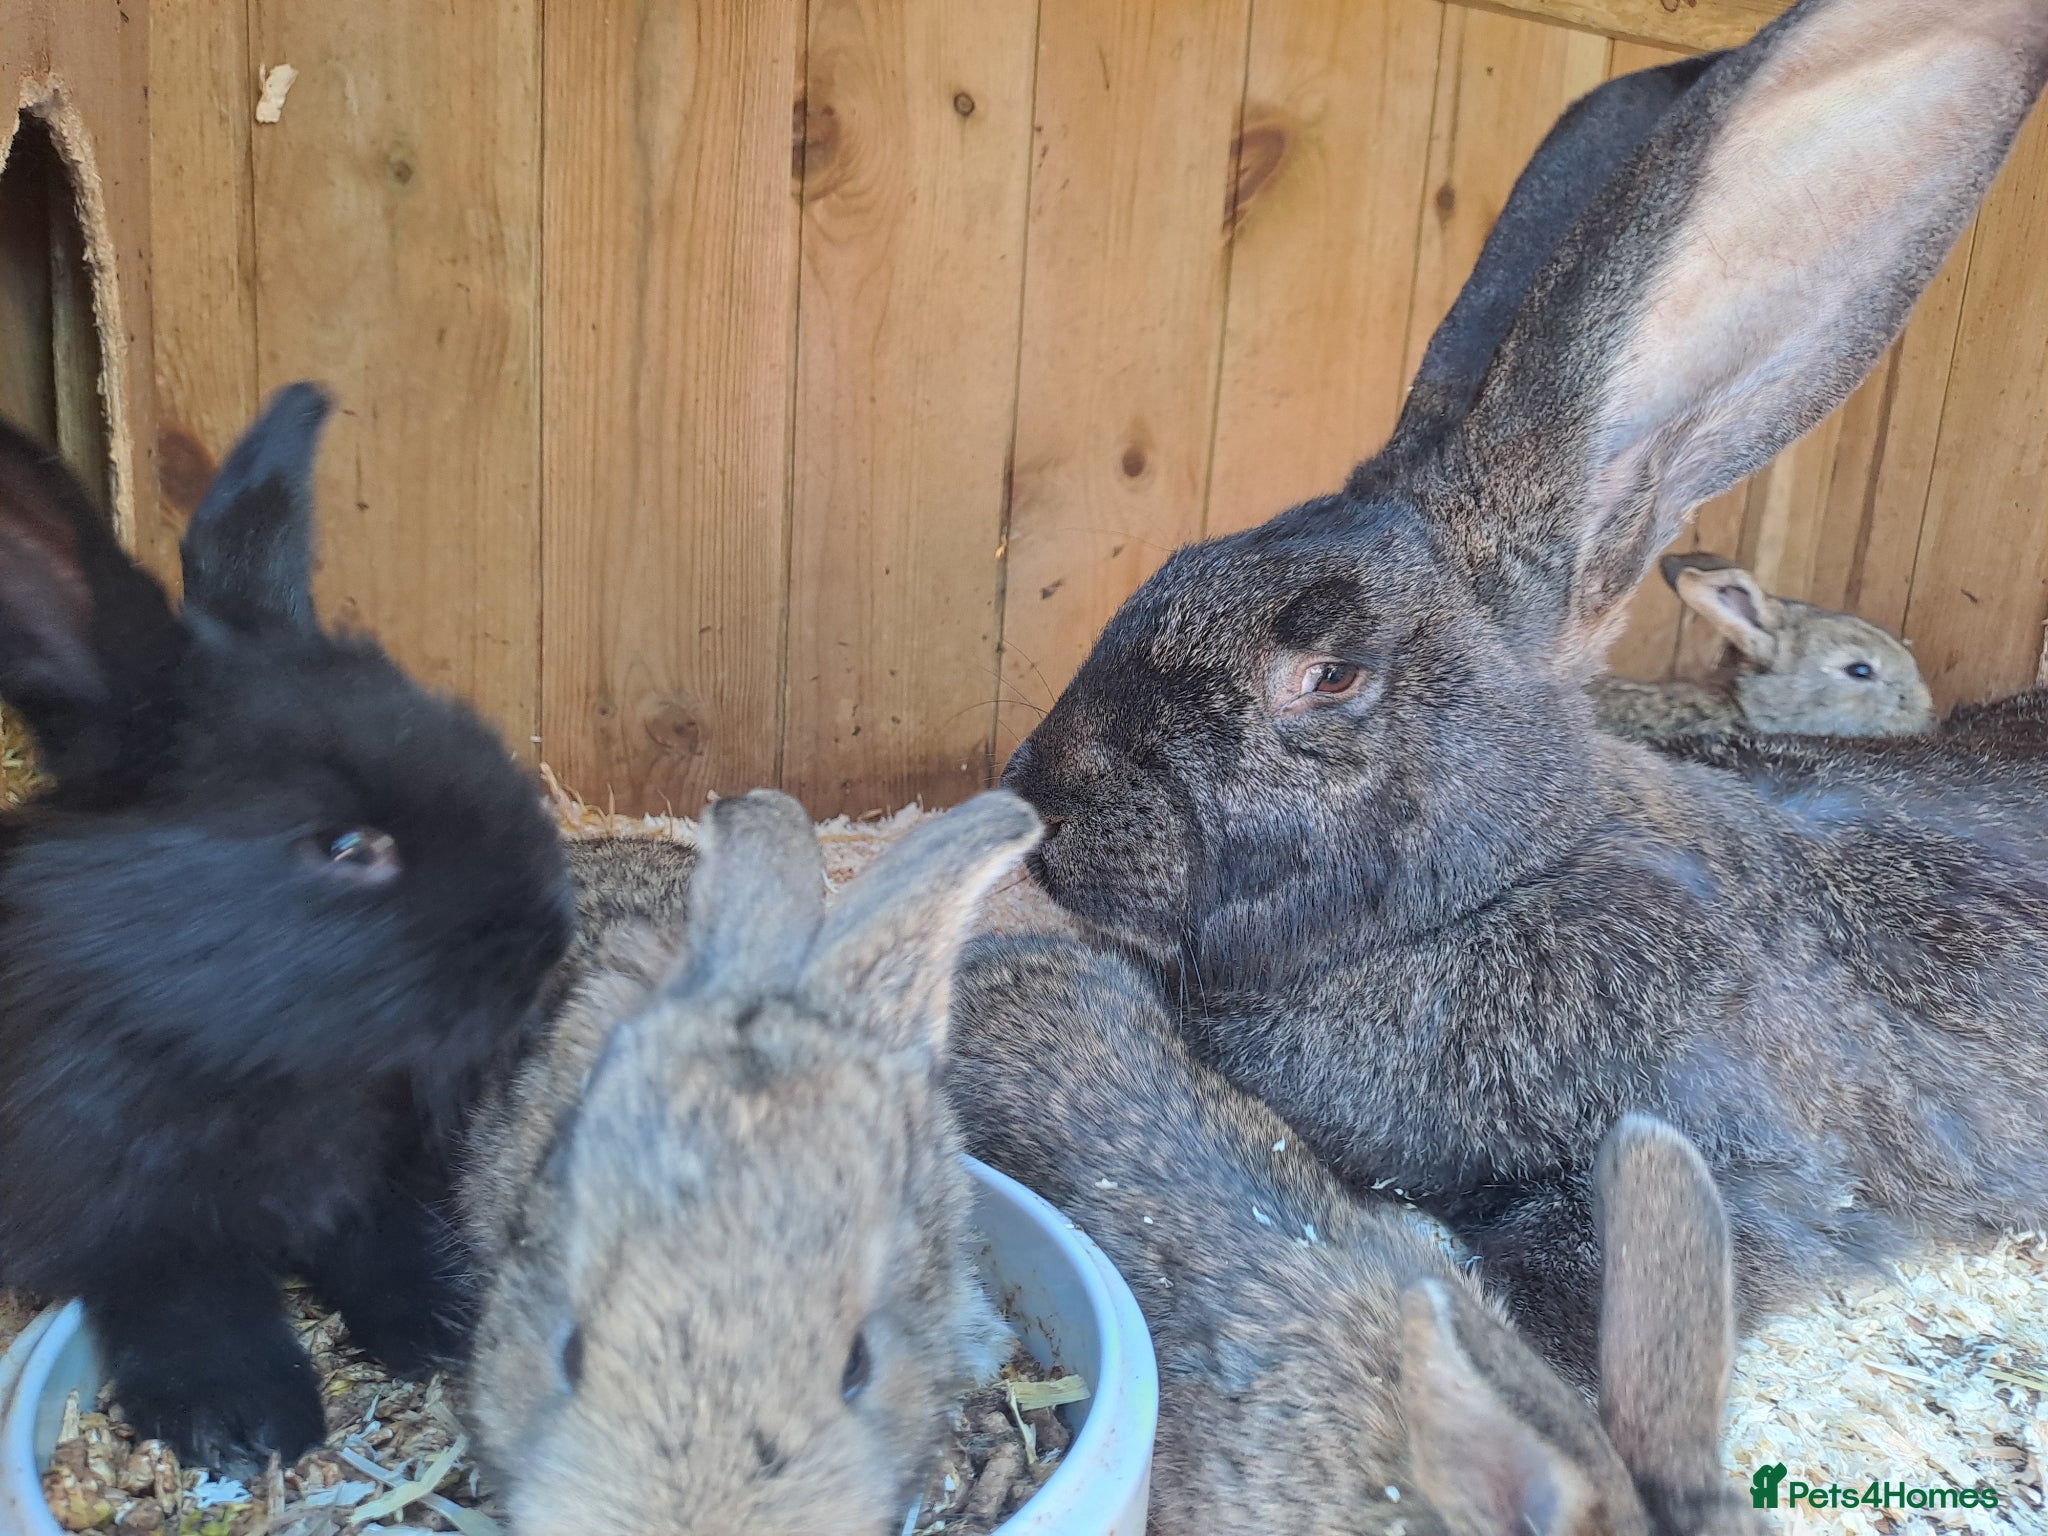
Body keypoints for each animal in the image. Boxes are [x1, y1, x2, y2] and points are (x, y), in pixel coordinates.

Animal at [0, 386, 575, 1474]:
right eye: (348, 845)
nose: (549, 942)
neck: (260, 1066)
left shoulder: (389, 1166)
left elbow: (385, 1232)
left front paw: (441, 1320)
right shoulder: (123, 1212)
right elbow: (187, 1289)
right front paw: (238, 1420)